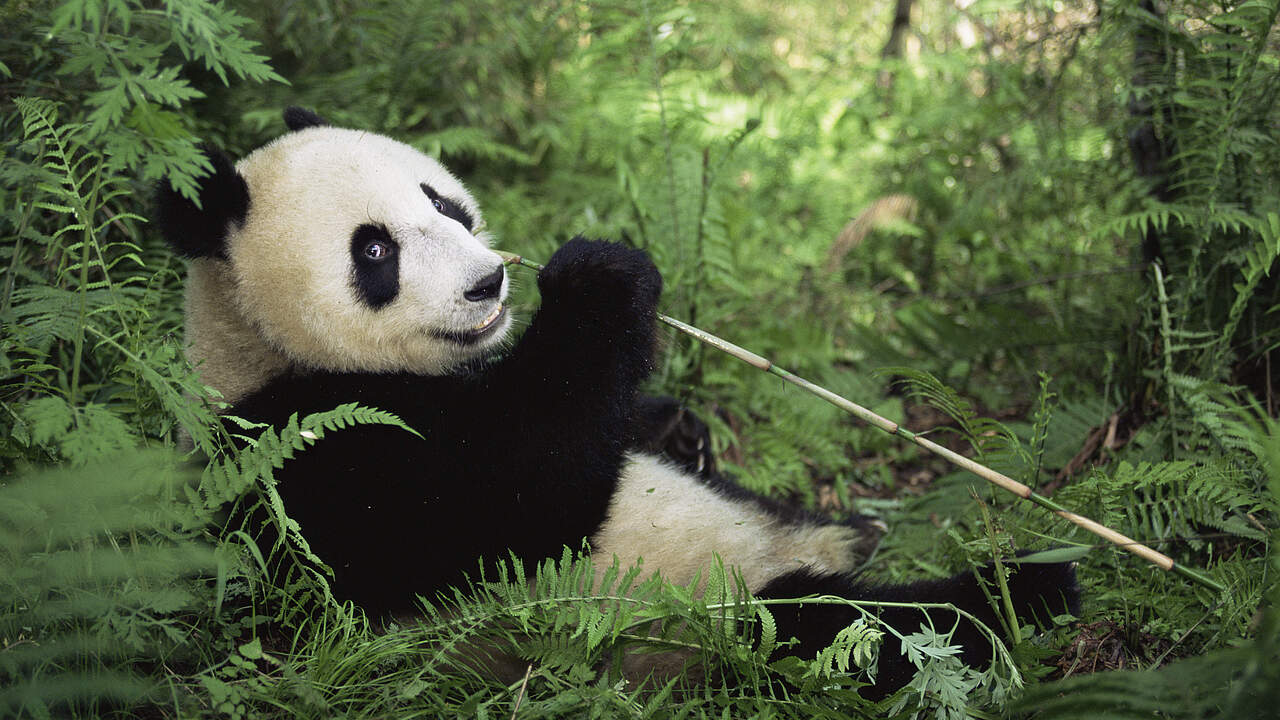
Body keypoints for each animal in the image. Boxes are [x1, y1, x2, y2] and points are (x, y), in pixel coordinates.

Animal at [157, 107, 1079, 695]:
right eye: (374, 250)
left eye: (444, 202)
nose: (488, 283)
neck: (257, 347)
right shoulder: (305, 454)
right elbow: (514, 503)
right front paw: (600, 279)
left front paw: (677, 424)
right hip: (705, 621)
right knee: (857, 630)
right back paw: (1024, 593)